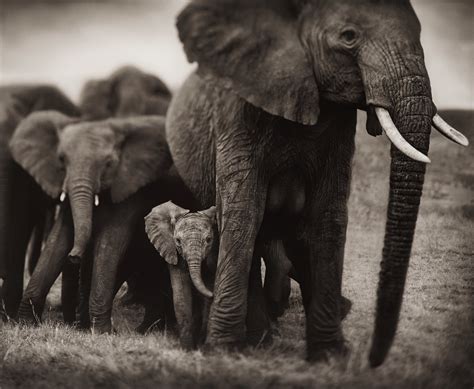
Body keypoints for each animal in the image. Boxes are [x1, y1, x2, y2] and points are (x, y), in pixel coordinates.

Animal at [9, 112, 174, 328]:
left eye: (109, 164)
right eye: (61, 159)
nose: (74, 256)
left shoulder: (130, 186)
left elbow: (110, 241)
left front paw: (102, 330)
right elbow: (58, 239)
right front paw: (25, 323)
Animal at [165, 0, 468, 366]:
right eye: (348, 37)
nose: (373, 360)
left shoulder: (338, 127)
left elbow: (327, 215)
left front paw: (329, 354)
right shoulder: (237, 113)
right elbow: (242, 213)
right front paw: (224, 351)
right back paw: (261, 338)